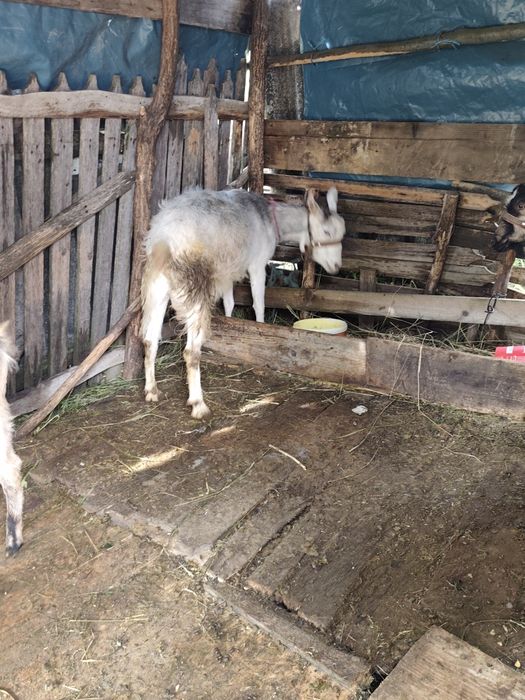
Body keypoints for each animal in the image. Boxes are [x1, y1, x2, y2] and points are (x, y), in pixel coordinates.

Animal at [141, 187, 346, 419]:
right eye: (327, 232)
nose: (336, 267)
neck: (271, 219)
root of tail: (164, 238)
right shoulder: (257, 263)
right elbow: (258, 302)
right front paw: (261, 329)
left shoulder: (228, 270)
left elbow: (230, 302)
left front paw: (233, 328)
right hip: (195, 285)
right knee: (191, 351)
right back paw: (198, 404)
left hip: (158, 286)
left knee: (149, 340)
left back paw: (151, 390)